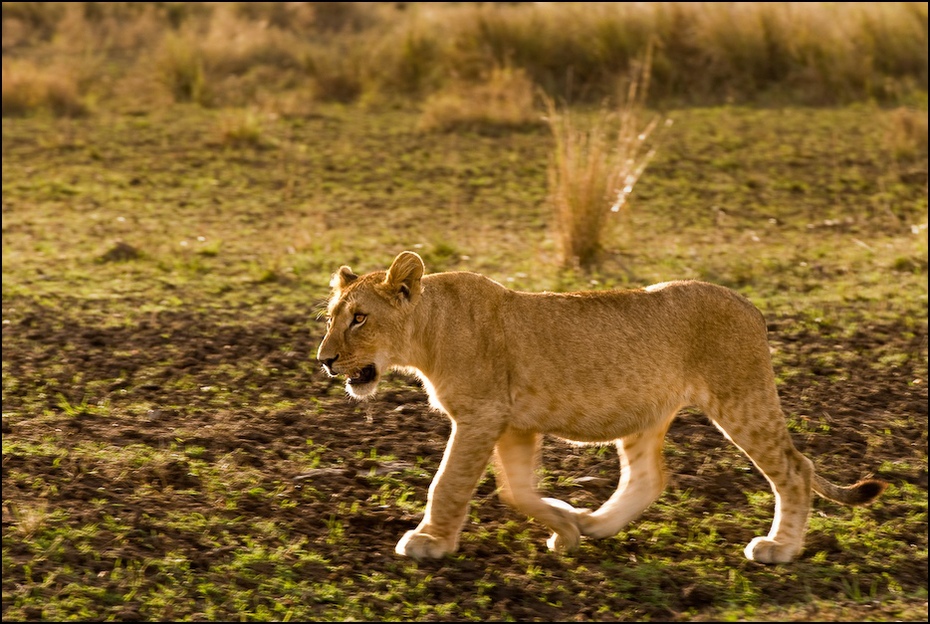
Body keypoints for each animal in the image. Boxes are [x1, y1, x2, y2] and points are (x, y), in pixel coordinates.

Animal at [318, 251, 884, 564]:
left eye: (360, 318)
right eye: (330, 318)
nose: (324, 361)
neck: (428, 331)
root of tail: (752, 306)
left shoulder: (482, 415)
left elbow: (450, 483)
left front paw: (429, 541)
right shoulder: (514, 424)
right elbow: (516, 491)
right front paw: (566, 526)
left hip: (742, 398)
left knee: (795, 467)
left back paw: (780, 549)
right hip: (647, 412)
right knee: (649, 477)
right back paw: (596, 524)